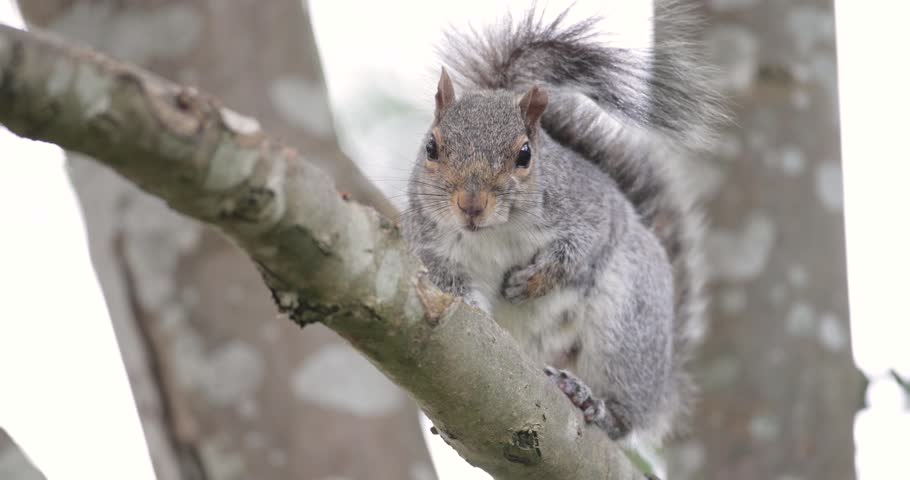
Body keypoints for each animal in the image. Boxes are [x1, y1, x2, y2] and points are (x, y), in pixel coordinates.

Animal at [402, 1, 723, 449]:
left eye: (524, 155)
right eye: (431, 147)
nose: (471, 205)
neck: (495, 233)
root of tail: (662, 385)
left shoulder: (590, 208)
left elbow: (580, 250)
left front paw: (533, 281)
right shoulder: (429, 245)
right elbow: (448, 283)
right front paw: (477, 310)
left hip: (627, 324)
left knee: (624, 417)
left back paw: (593, 402)